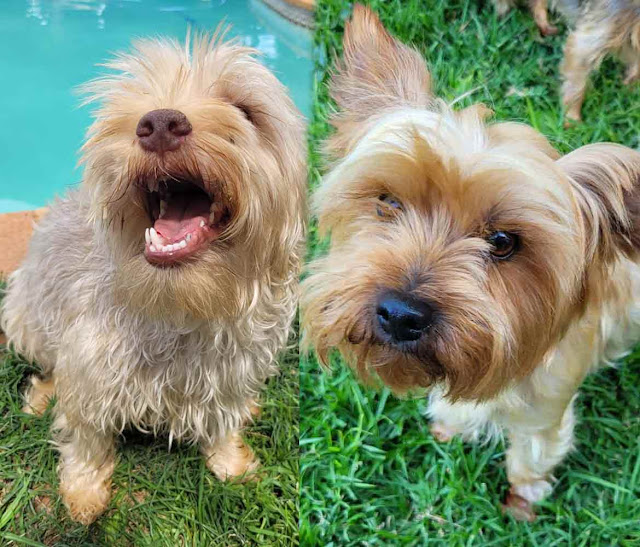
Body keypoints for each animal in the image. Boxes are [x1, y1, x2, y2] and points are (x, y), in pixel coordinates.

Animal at [0, 31, 304, 528]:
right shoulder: (91, 372)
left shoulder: (234, 372)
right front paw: (83, 494)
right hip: (26, 314)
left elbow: (223, 421)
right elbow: (86, 438)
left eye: (245, 111)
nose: (159, 122)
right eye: (139, 100)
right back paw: (42, 394)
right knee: (48, 364)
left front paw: (231, 462)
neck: (180, 304)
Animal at [302, 5, 640, 524]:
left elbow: (531, 456)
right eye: (388, 201)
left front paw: (522, 501)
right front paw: (450, 426)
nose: (400, 314)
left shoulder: (546, 411)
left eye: (502, 242)